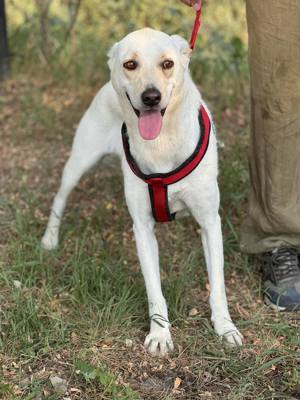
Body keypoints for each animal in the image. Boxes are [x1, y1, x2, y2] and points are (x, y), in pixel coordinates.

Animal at [41, 28, 243, 354]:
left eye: (167, 64)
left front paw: (225, 328)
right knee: (61, 197)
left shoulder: (210, 223)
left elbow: (218, 286)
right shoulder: (143, 229)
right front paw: (160, 334)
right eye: (130, 64)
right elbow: (154, 290)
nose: (151, 97)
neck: (162, 143)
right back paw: (49, 239)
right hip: (79, 161)